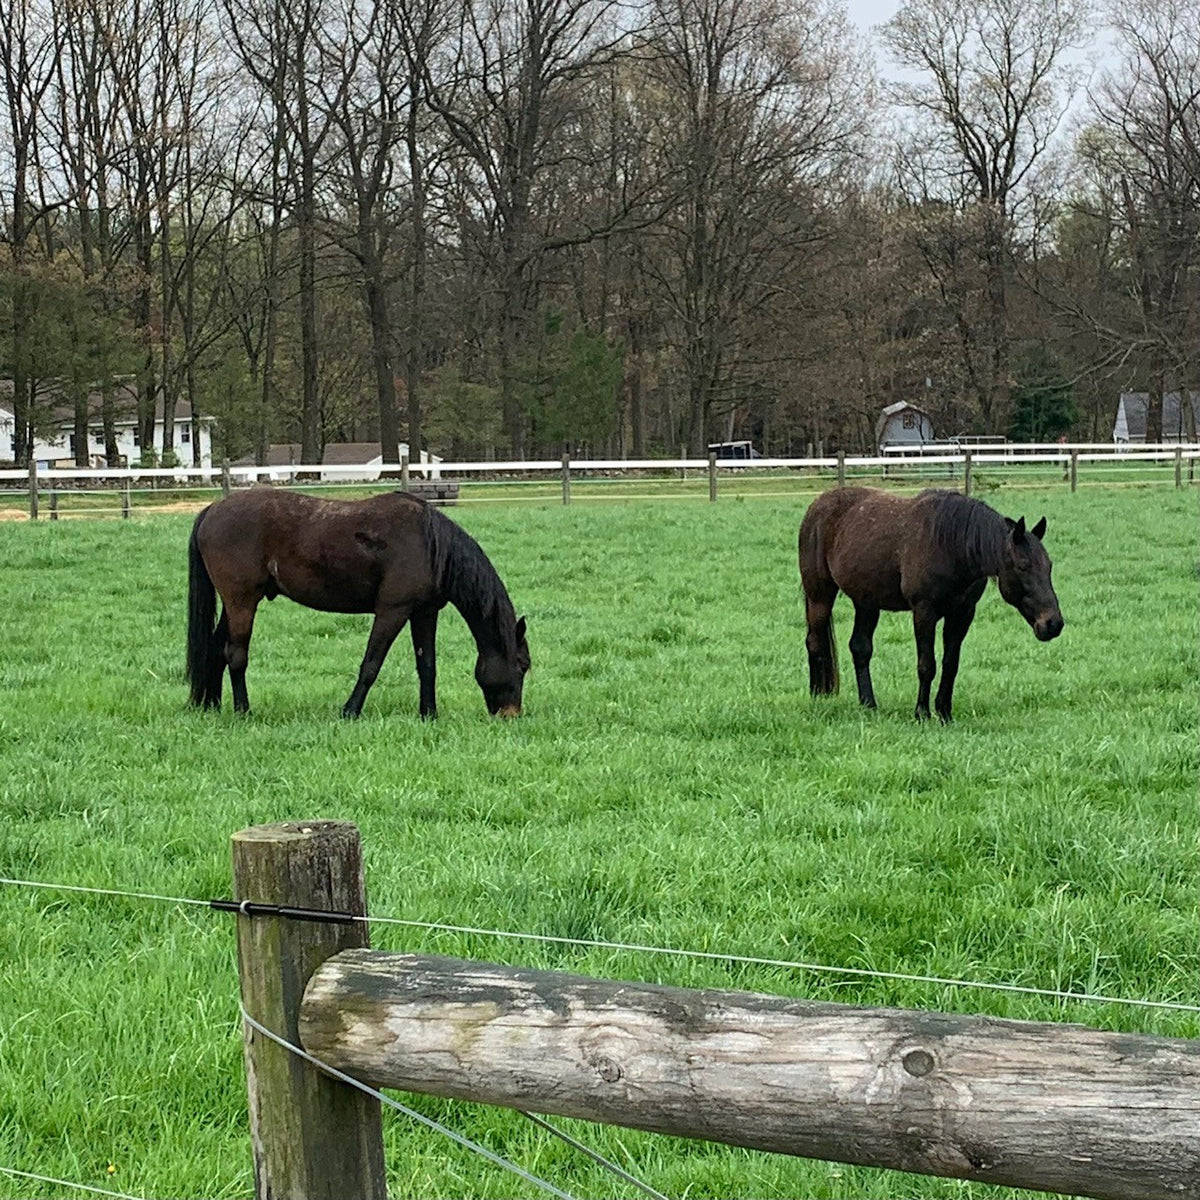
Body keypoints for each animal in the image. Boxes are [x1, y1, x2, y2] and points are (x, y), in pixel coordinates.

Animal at [186, 488, 529, 719]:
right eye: (522, 665)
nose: (511, 715)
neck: (430, 544)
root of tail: (212, 510)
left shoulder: (424, 612)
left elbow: (427, 665)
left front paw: (429, 714)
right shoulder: (392, 611)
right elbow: (371, 665)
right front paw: (350, 711)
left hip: (233, 605)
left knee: (215, 650)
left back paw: (210, 705)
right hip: (242, 601)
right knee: (236, 654)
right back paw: (243, 710)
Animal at [799, 487, 1063, 722]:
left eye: (1049, 566)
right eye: (1022, 566)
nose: (1053, 624)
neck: (952, 547)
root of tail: (817, 506)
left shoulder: (962, 614)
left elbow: (950, 664)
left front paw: (945, 712)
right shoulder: (924, 611)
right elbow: (927, 665)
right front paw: (922, 713)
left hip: (866, 602)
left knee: (860, 648)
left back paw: (869, 704)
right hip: (819, 595)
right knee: (815, 641)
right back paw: (818, 697)